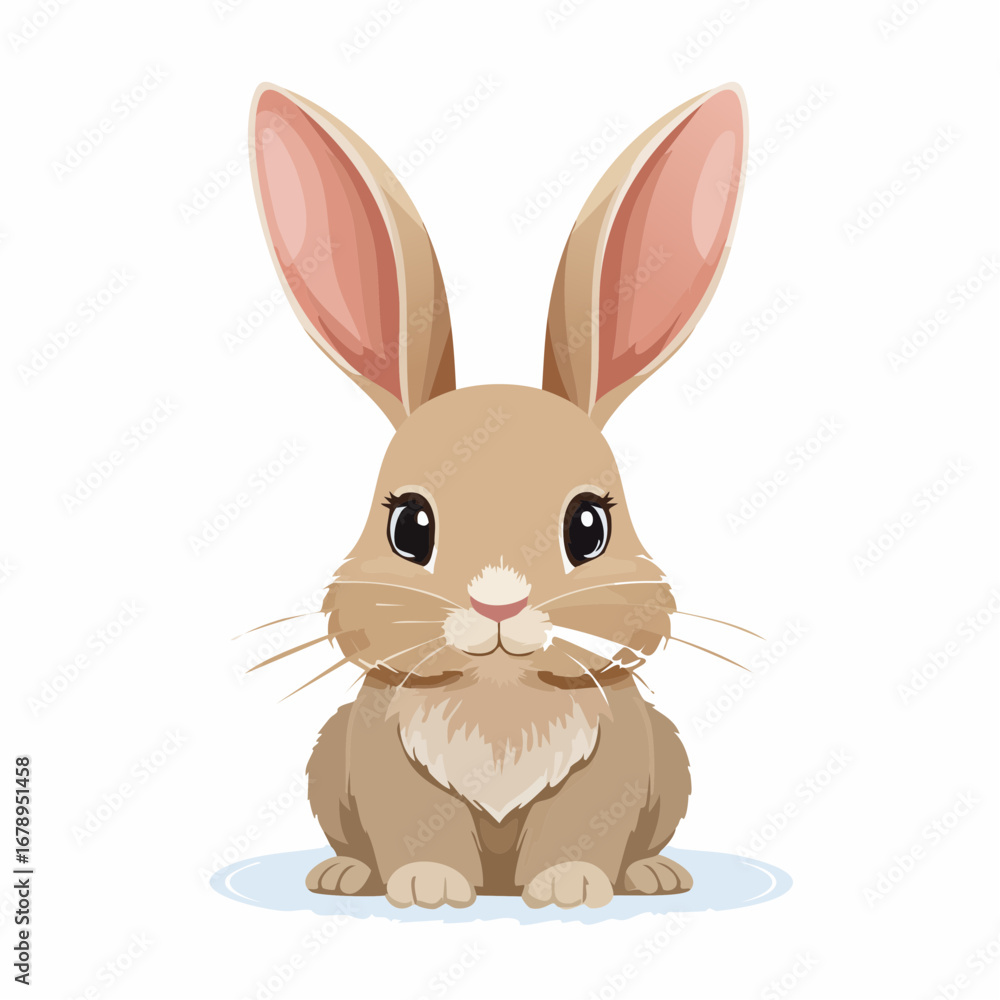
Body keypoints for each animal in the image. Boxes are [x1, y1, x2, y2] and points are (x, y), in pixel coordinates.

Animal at [247, 81, 747, 909]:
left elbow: (582, 832)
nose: (499, 603)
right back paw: (345, 875)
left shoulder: (613, 765)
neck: (500, 691)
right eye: (409, 528)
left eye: (589, 527)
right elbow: (417, 831)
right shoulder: (384, 764)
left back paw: (653, 875)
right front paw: (427, 889)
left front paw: (572, 889)